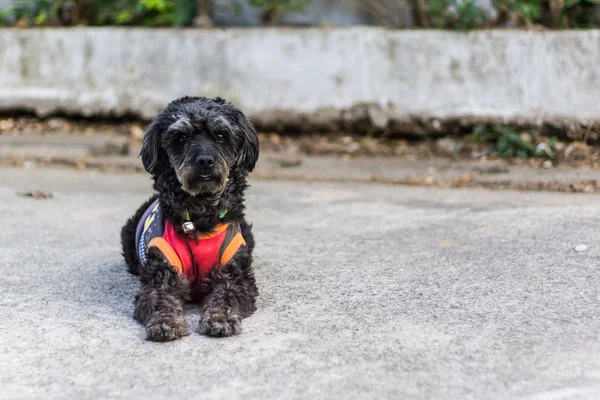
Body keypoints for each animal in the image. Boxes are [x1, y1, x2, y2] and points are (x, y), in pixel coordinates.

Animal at [119, 96, 258, 340]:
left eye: (220, 135)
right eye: (181, 137)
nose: (204, 161)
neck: (200, 219)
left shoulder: (236, 276)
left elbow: (226, 295)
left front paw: (220, 318)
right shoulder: (160, 275)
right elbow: (161, 299)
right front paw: (165, 322)